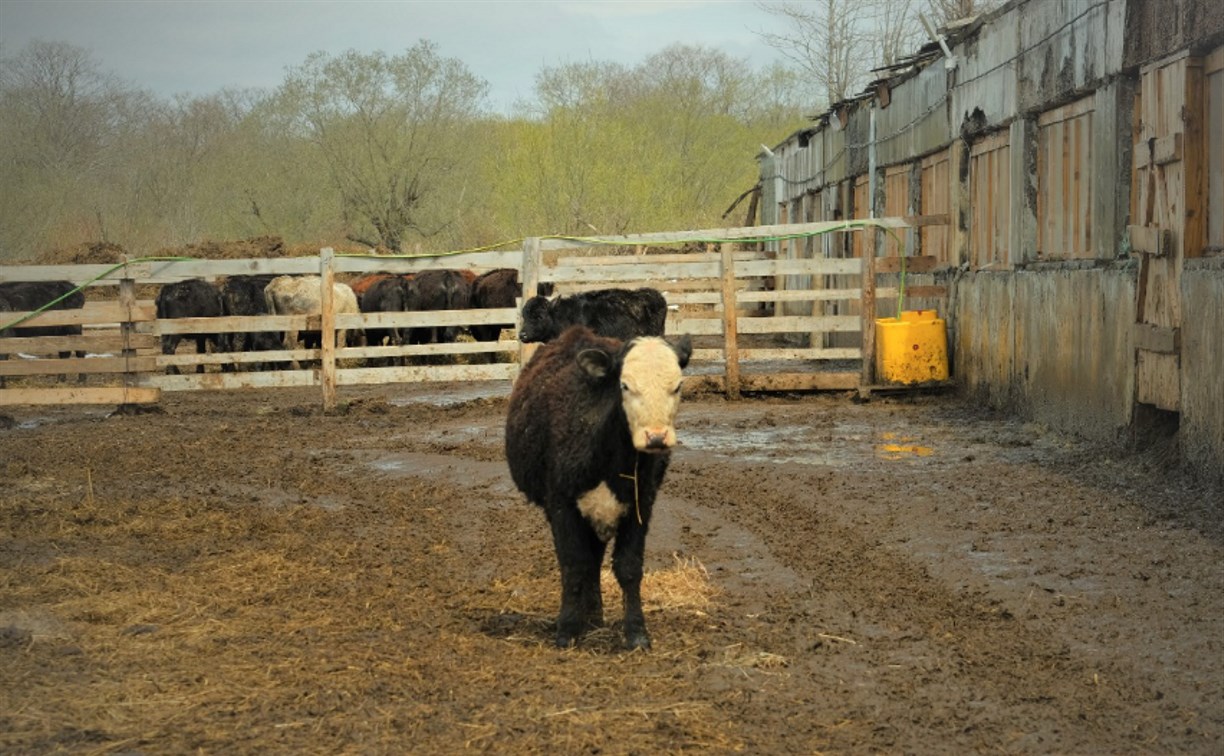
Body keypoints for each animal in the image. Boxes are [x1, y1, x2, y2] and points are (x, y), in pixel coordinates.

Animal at [496, 322, 690, 645]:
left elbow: (628, 567)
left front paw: (636, 633)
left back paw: (595, 616)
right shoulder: (562, 505)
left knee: (595, 559)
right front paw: (567, 630)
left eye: (677, 386)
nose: (656, 437)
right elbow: (574, 565)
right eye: (625, 386)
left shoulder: (641, 504)